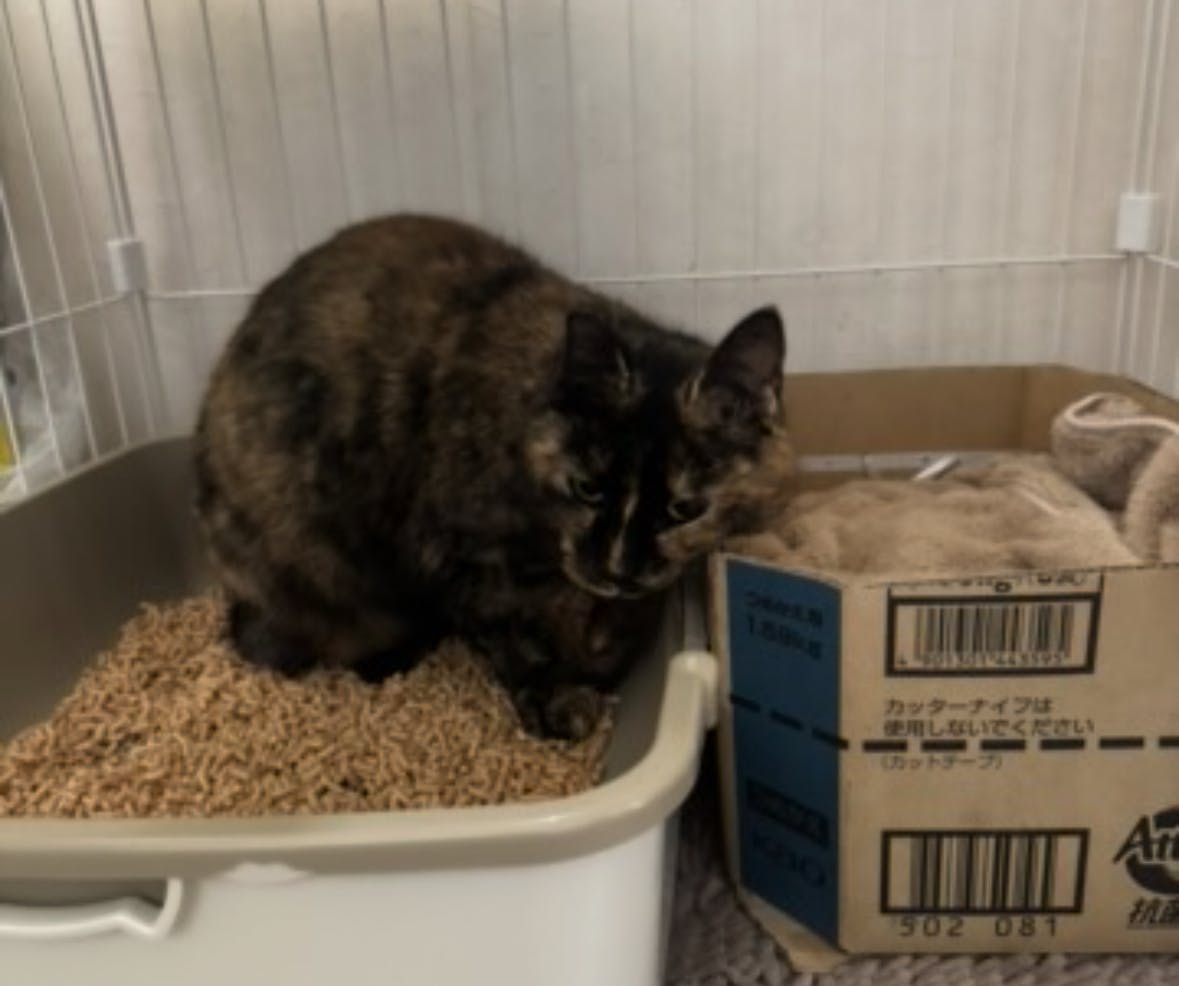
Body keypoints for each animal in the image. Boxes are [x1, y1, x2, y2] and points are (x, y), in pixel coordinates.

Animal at [194, 214, 795, 739]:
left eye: (684, 509)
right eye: (587, 489)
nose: (618, 569)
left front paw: (603, 659)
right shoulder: (460, 563)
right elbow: (514, 642)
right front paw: (557, 702)